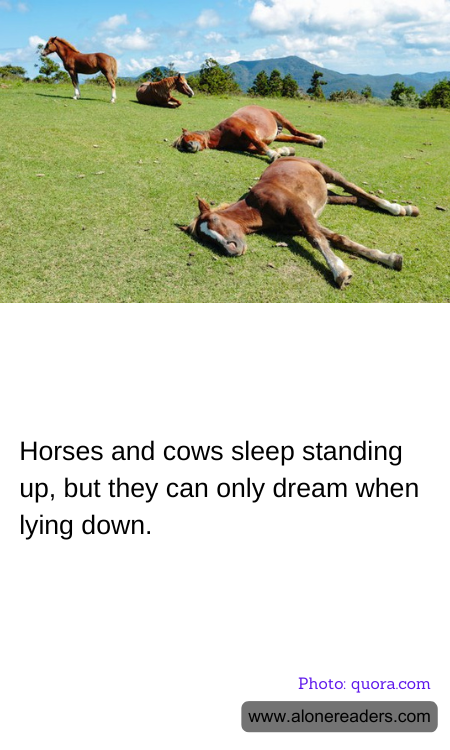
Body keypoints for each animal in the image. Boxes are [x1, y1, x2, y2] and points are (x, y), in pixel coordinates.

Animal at [173, 105, 326, 161]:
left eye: (186, 137)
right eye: (181, 146)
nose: (189, 146)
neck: (222, 134)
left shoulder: (248, 132)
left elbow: (260, 144)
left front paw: (273, 154)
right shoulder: (248, 146)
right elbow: (260, 149)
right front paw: (284, 151)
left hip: (280, 117)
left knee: (296, 131)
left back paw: (319, 138)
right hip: (279, 135)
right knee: (296, 137)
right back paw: (316, 142)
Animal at [182, 156, 420, 289]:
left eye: (214, 219)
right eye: (206, 240)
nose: (231, 249)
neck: (259, 207)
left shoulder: (301, 211)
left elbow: (317, 239)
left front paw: (341, 273)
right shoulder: (299, 223)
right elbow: (337, 238)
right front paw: (389, 258)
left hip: (329, 174)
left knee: (357, 190)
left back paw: (399, 208)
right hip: (326, 195)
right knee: (354, 198)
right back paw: (405, 209)